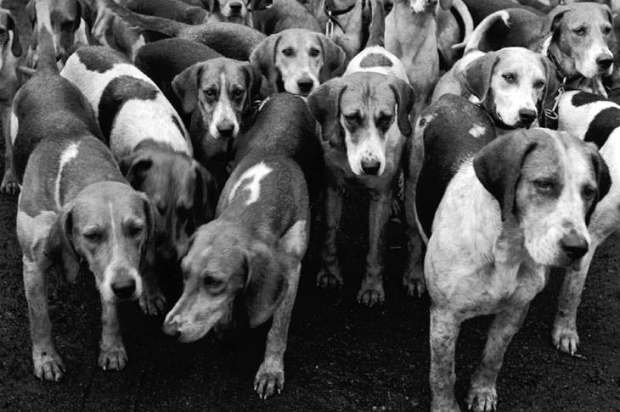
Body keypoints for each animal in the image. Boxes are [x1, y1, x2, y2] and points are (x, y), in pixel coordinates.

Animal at [14, 22, 155, 381]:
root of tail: (46, 73)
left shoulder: (110, 271)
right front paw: (46, 359)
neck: (79, 166)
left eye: (137, 229)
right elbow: (40, 319)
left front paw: (112, 348)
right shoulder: (32, 266)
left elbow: (110, 309)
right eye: (92, 235)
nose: (126, 288)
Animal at [60, 46, 212, 314]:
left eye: (186, 211)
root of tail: (81, 48)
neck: (159, 140)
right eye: (155, 207)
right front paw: (150, 293)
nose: (169, 258)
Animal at [162, 93, 322, 399]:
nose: (169, 331)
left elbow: (278, 329)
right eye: (184, 274)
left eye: (214, 281)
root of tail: (289, 95)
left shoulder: (290, 272)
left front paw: (271, 370)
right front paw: (225, 325)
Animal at [307, 48, 417, 305]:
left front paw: (372, 286)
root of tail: (377, 49)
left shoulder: (380, 197)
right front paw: (329, 273)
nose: (371, 166)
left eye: (386, 118)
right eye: (351, 118)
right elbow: (329, 233)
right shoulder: (332, 188)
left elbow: (376, 247)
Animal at [422, 127, 609, 411]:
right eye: (544, 184)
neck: (507, 248)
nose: (578, 248)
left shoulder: (515, 310)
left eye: (589, 192)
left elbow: (493, 356)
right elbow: (442, 374)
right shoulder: (445, 316)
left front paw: (482, 392)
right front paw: (445, 407)